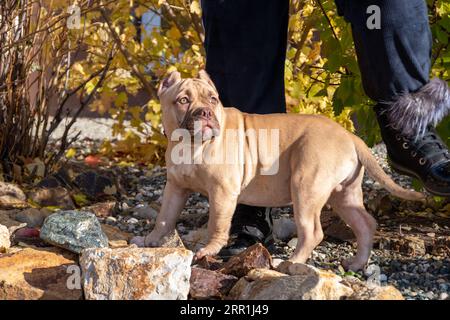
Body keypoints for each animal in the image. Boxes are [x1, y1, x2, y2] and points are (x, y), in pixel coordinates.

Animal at [131, 70, 426, 270]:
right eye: (182, 100)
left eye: (213, 99)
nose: (204, 113)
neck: (191, 144)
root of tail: (350, 136)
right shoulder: (175, 188)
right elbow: (165, 217)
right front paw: (152, 239)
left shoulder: (222, 192)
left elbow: (217, 223)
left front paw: (209, 249)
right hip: (343, 195)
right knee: (364, 223)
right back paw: (356, 263)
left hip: (306, 187)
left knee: (313, 232)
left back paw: (291, 262)